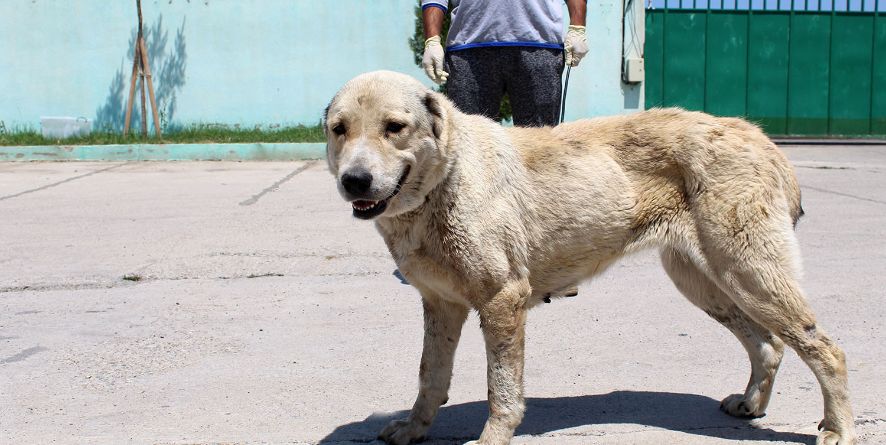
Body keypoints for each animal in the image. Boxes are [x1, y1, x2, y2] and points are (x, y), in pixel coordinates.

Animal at [322, 71, 856, 444]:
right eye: (338, 130)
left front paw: (492, 437)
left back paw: (838, 428)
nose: (355, 181)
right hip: (704, 280)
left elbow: (502, 390)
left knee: (825, 349)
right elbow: (430, 376)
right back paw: (751, 405)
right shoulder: (441, 305)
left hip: (749, 272)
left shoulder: (502, 301)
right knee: (769, 344)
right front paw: (415, 428)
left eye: (395, 128)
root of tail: (759, 136)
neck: (443, 184)